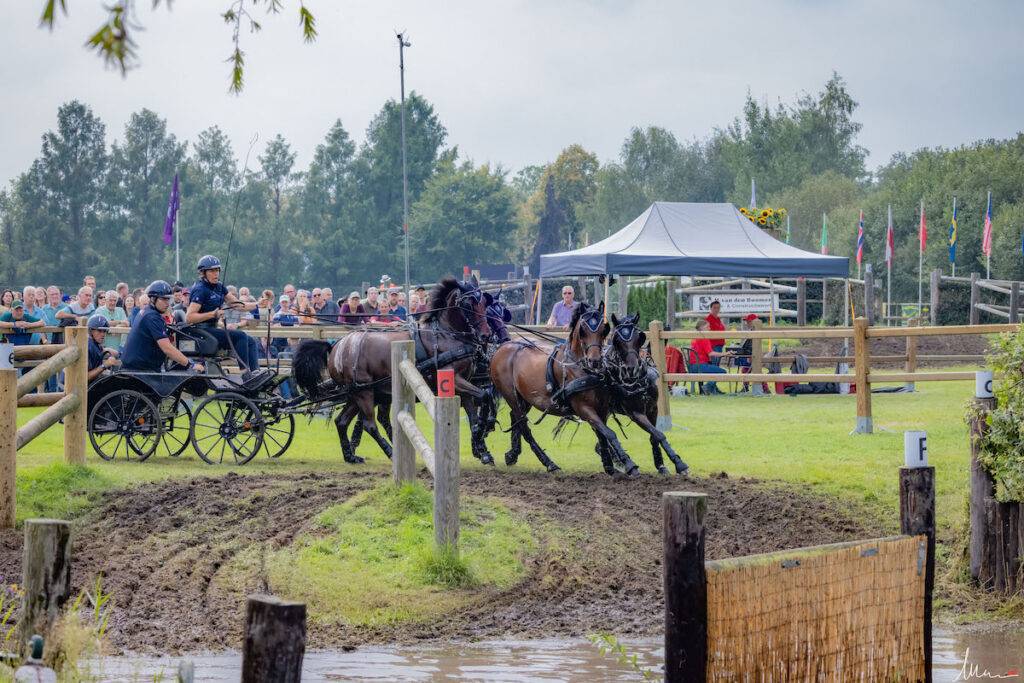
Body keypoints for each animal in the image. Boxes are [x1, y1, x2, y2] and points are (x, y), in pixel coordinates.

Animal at [293, 276, 493, 464]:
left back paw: (351, 456)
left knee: (341, 421)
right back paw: (389, 451)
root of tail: (336, 346)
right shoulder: (454, 380)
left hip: (357, 393)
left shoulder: (465, 383)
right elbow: (485, 396)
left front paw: (482, 449)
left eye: (484, 302)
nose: (486, 335)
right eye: (468, 304)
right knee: (369, 425)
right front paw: (485, 429)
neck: (445, 334)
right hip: (364, 392)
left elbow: (474, 414)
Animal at [489, 301, 640, 476]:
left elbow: (603, 434)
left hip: (524, 400)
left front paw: (610, 465)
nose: (594, 360)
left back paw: (512, 455)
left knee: (516, 420)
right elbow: (609, 433)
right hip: (511, 396)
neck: (583, 369)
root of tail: (503, 347)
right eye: (582, 330)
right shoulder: (584, 409)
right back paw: (549, 463)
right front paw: (629, 464)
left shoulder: (602, 409)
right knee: (525, 428)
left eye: (604, 329)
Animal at [603, 313, 688, 475]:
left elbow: (654, 436)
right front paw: (679, 464)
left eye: (640, 337)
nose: (631, 368)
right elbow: (659, 434)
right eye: (616, 340)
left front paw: (661, 465)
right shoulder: (636, 413)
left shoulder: (652, 409)